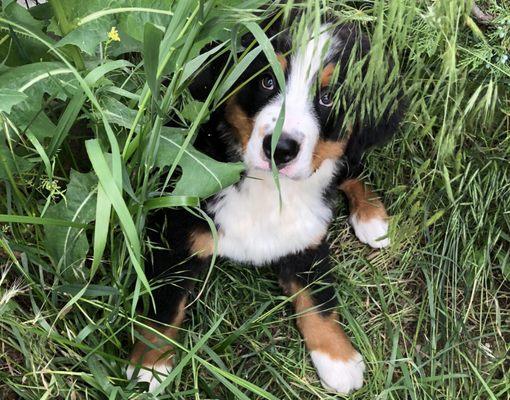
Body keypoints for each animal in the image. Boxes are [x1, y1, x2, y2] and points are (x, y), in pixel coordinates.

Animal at [126, 14, 402, 396]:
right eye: (267, 81)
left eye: (328, 98)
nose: (279, 147)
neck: (269, 190)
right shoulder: (179, 235)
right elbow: (165, 305)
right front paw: (149, 366)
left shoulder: (306, 243)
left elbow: (319, 302)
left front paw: (339, 360)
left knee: (352, 167)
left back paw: (372, 218)